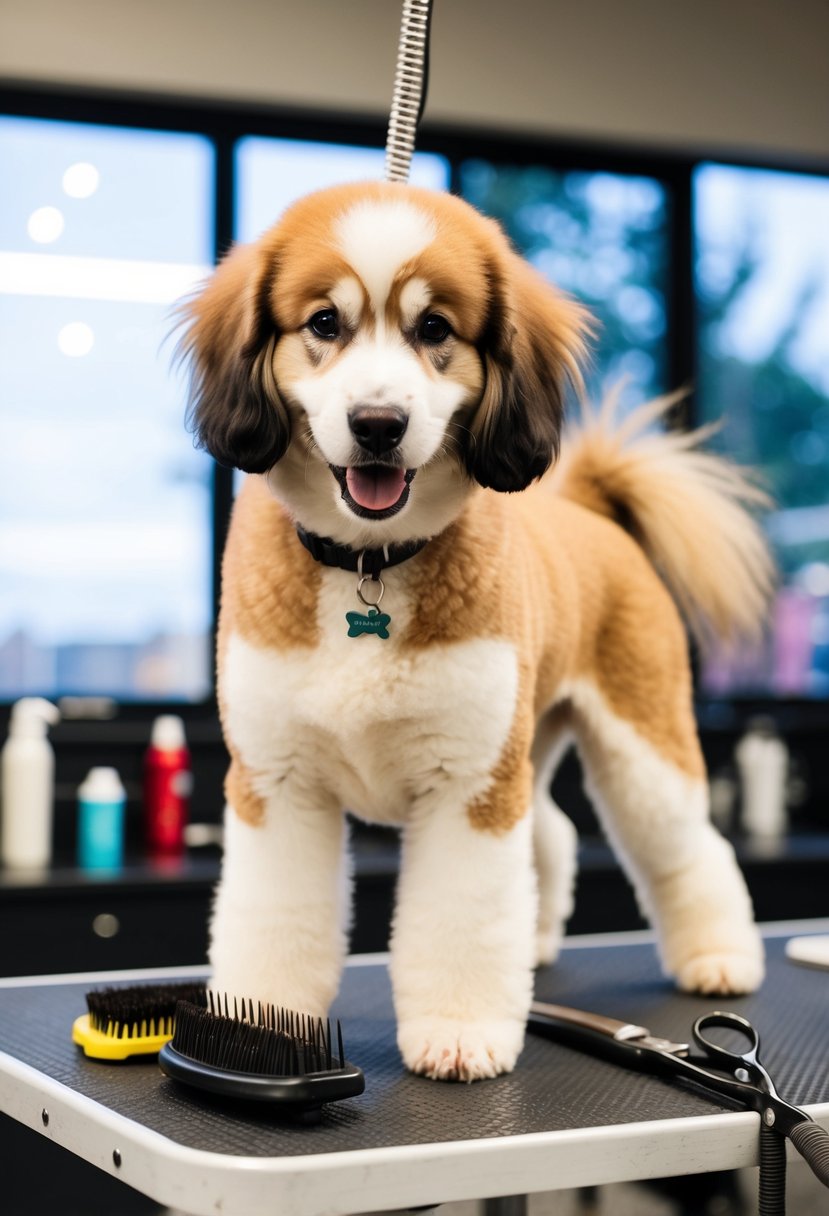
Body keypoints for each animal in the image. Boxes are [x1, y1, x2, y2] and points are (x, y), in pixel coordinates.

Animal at [177, 182, 773, 1084]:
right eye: (324, 323)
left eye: (433, 330)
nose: (378, 423)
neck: (369, 563)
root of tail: (588, 509)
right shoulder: (278, 784)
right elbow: (276, 920)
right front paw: (263, 1031)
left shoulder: (466, 785)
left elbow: (460, 914)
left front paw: (459, 1030)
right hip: (529, 744)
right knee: (551, 835)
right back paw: (536, 944)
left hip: (637, 747)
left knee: (685, 849)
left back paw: (717, 957)